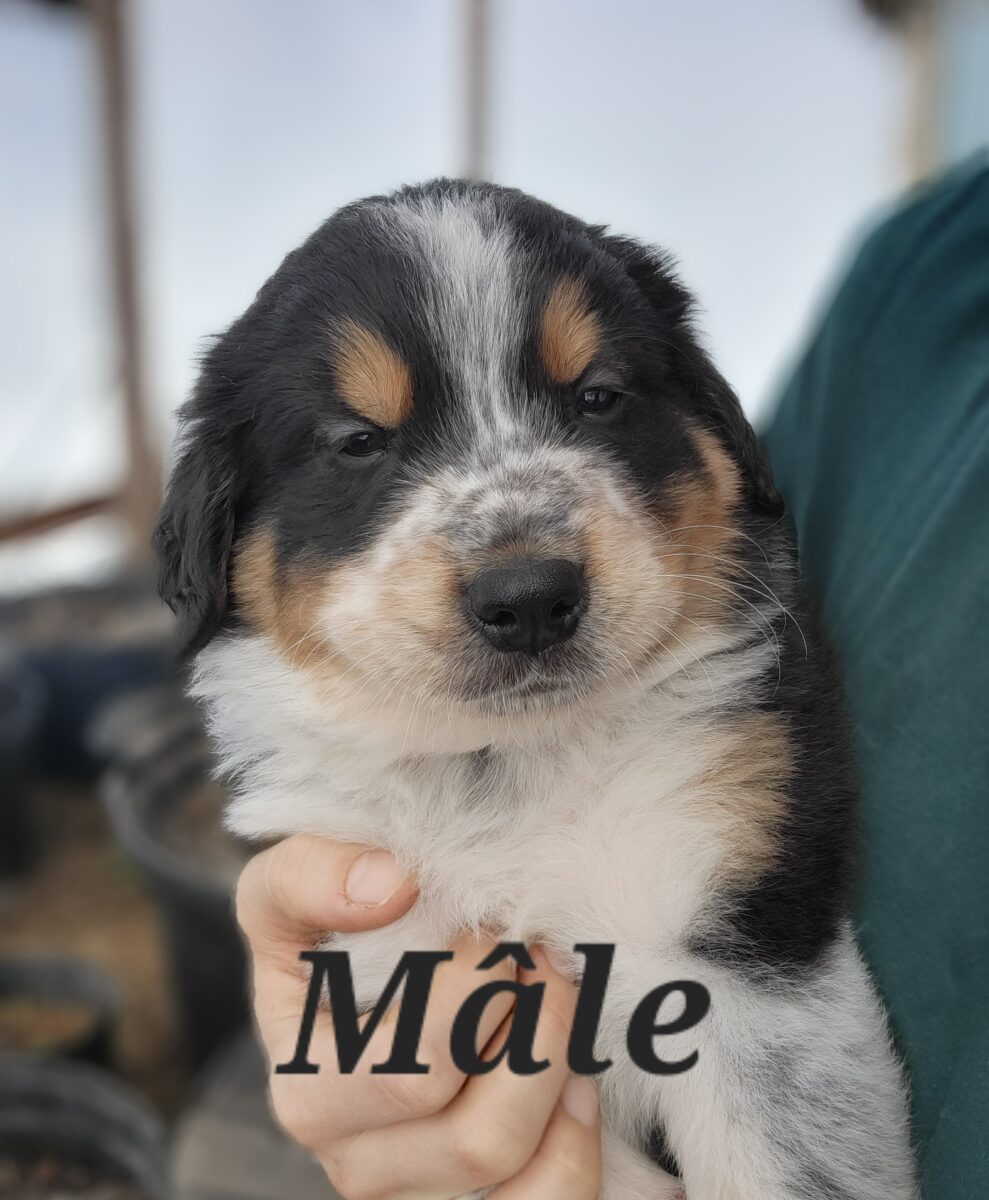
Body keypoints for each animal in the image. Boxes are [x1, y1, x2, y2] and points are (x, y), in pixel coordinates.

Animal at [156, 180, 921, 1200]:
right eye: (357, 441)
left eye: (597, 398)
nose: (528, 600)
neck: (508, 762)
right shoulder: (393, 951)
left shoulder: (742, 953)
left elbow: (780, 1165)